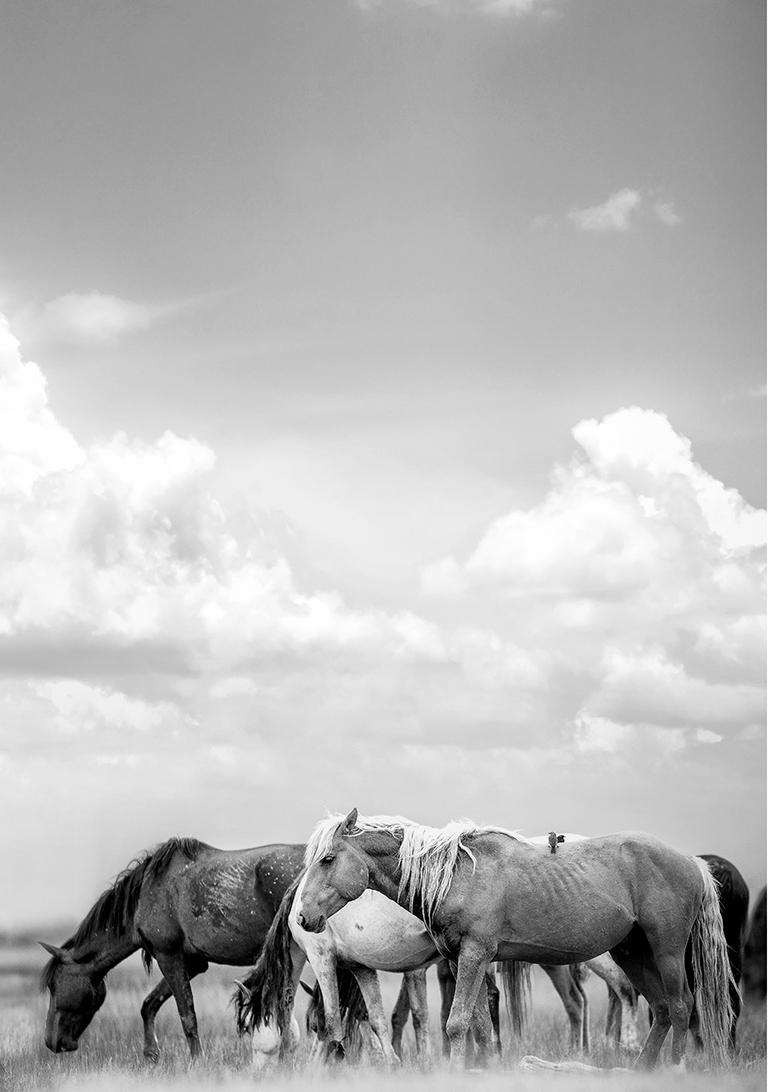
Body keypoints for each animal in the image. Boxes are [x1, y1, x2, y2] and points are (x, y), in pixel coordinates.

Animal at [39, 834, 303, 1057]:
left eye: (54, 985)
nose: (51, 1042)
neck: (146, 894)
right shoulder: (192, 963)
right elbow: (149, 1004)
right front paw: (151, 1053)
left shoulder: (168, 956)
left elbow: (187, 1015)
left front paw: (197, 1060)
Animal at [297, 812, 734, 1074]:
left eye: (328, 859)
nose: (302, 918)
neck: (457, 875)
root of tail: (693, 862)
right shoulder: (460, 960)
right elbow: (479, 1027)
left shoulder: (475, 954)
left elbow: (457, 1024)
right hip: (633, 952)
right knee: (660, 1009)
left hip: (666, 951)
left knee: (680, 1006)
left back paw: (673, 1070)